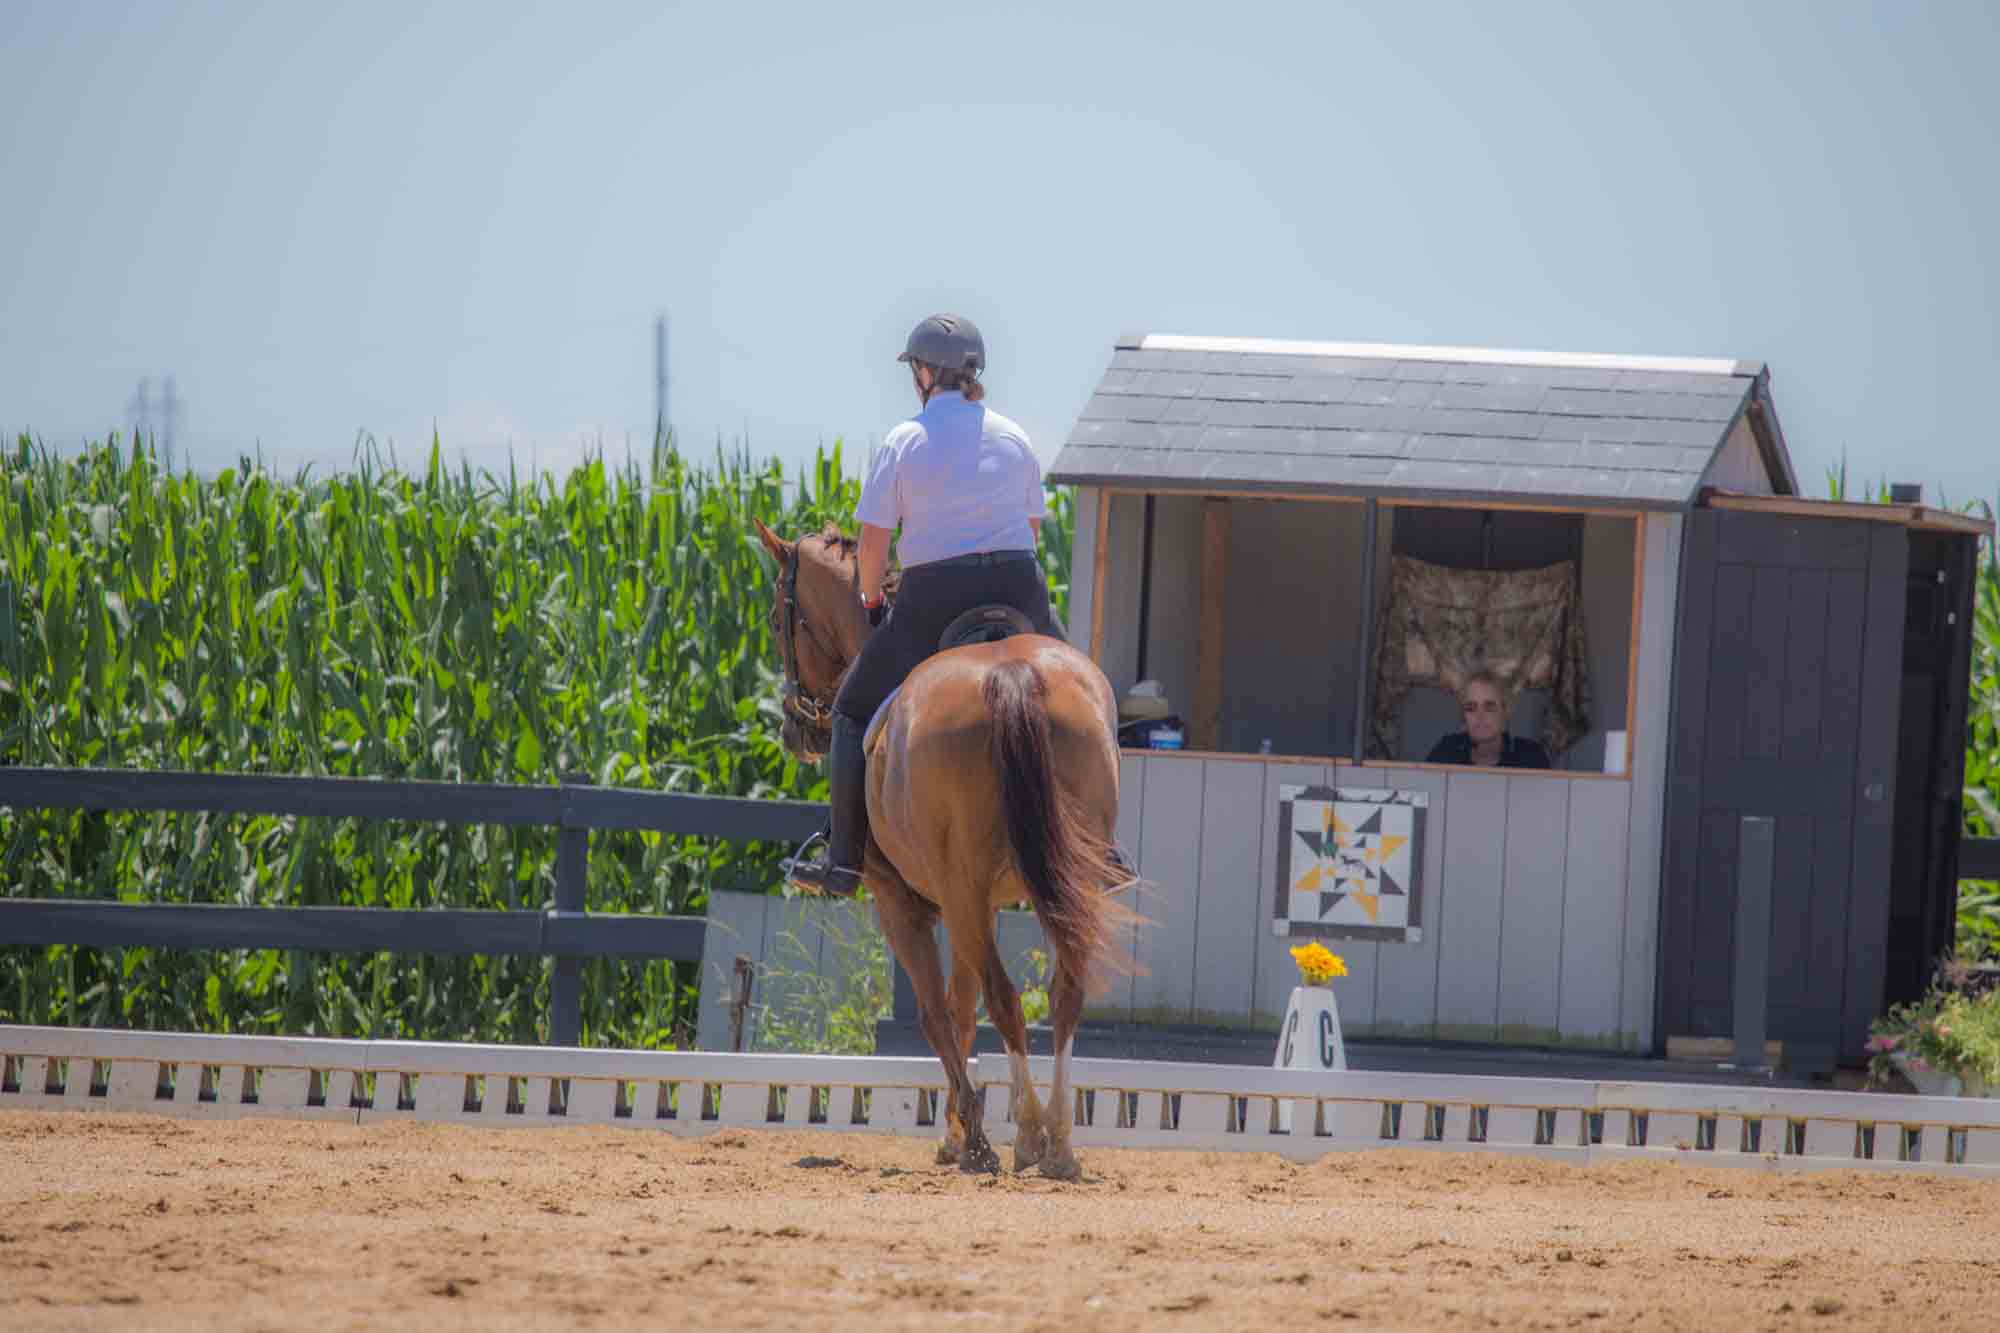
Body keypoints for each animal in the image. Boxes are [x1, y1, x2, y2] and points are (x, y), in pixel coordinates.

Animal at [754, 519, 1134, 1178]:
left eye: (780, 617)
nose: (794, 729)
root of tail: (1010, 673)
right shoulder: (977, 907)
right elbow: (961, 1008)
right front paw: (961, 1132)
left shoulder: (902, 903)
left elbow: (936, 1013)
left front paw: (968, 1136)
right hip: (1052, 882)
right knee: (1062, 992)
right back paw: (1058, 1143)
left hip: (961, 889)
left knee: (1005, 999)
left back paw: (1024, 1134)